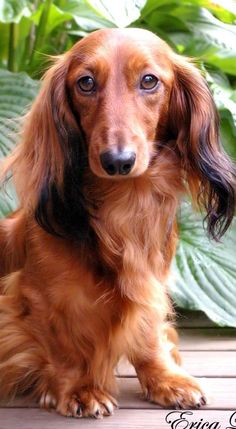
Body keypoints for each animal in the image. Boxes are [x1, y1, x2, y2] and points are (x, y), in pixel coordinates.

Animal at [0, 28, 235, 416]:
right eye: (86, 82)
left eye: (149, 80)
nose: (118, 161)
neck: (125, 205)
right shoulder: (40, 296)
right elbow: (63, 342)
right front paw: (79, 388)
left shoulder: (153, 281)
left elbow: (149, 328)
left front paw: (165, 378)